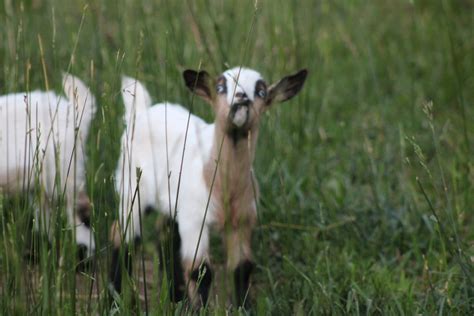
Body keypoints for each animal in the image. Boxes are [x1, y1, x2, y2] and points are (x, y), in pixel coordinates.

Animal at [112, 67, 308, 308]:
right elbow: (200, 271)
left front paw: (244, 308)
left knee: (165, 235)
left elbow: (242, 268)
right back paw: (114, 296)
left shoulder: (242, 220)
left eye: (261, 91)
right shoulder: (195, 220)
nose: (242, 99)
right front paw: (200, 309)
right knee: (124, 236)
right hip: (132, 186)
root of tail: (142, 112)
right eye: (220, 87)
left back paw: (176, 298)